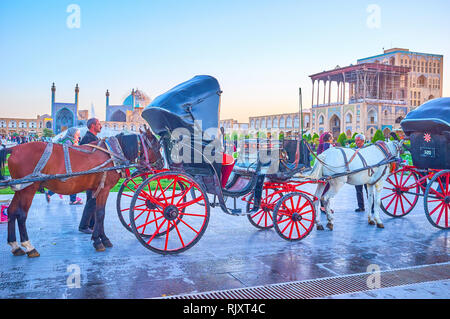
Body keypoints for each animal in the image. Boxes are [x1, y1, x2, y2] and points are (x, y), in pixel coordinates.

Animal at [0, 127, 163, 258]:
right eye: (156, 145)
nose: (161, 163)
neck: (112, 154)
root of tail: (14, 149)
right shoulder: (104, 188)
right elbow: (101, 213)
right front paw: (99, 240)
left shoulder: (97, 189)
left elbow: (97, 212)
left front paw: (102, 238)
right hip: (29, 188)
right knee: (21, 215)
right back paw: (29, 246)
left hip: (21, 188)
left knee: (12, 211)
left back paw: (15, 246)